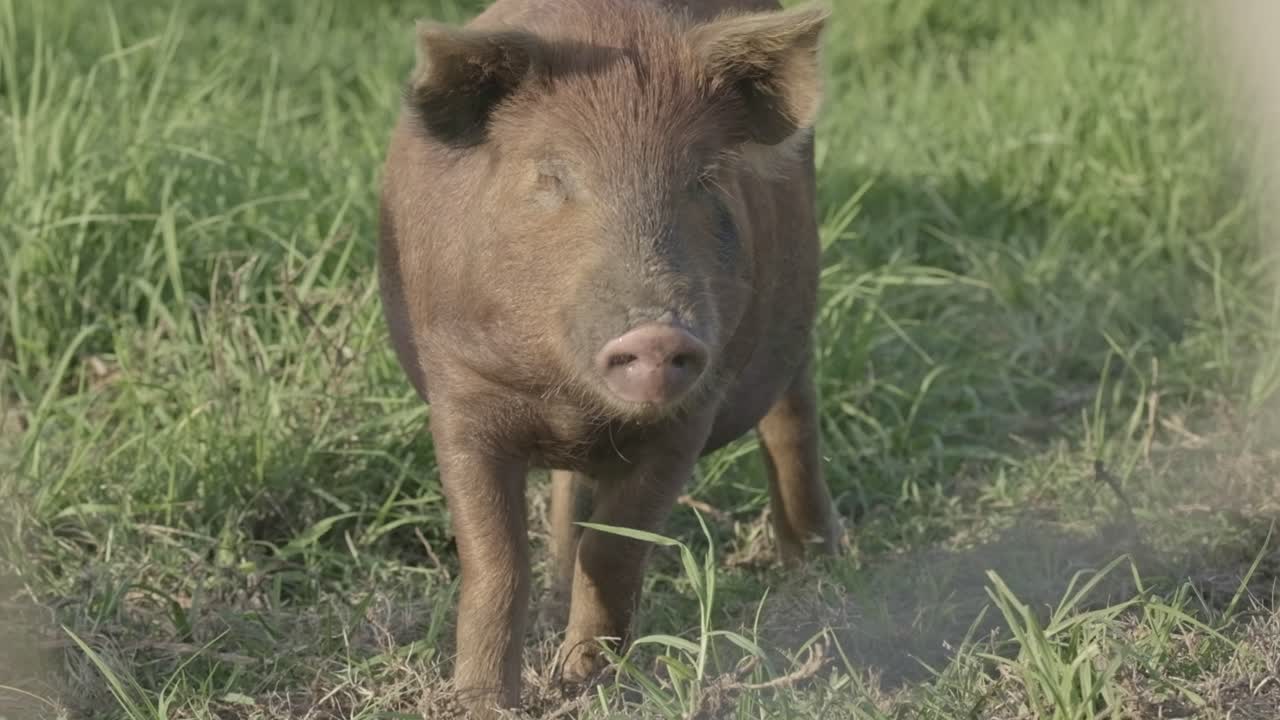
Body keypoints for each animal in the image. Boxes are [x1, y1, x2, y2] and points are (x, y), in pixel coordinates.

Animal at [376, 0, 841, 714]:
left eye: (704, 177)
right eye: (551, 175)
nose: (655, 333)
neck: (570, 402)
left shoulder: (689, 416)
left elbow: (616, 550)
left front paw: (585, 683)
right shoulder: (459, 394)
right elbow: (495, 558)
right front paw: (482, 701)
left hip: (793, 324)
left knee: (793, 420)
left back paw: (820, 565)